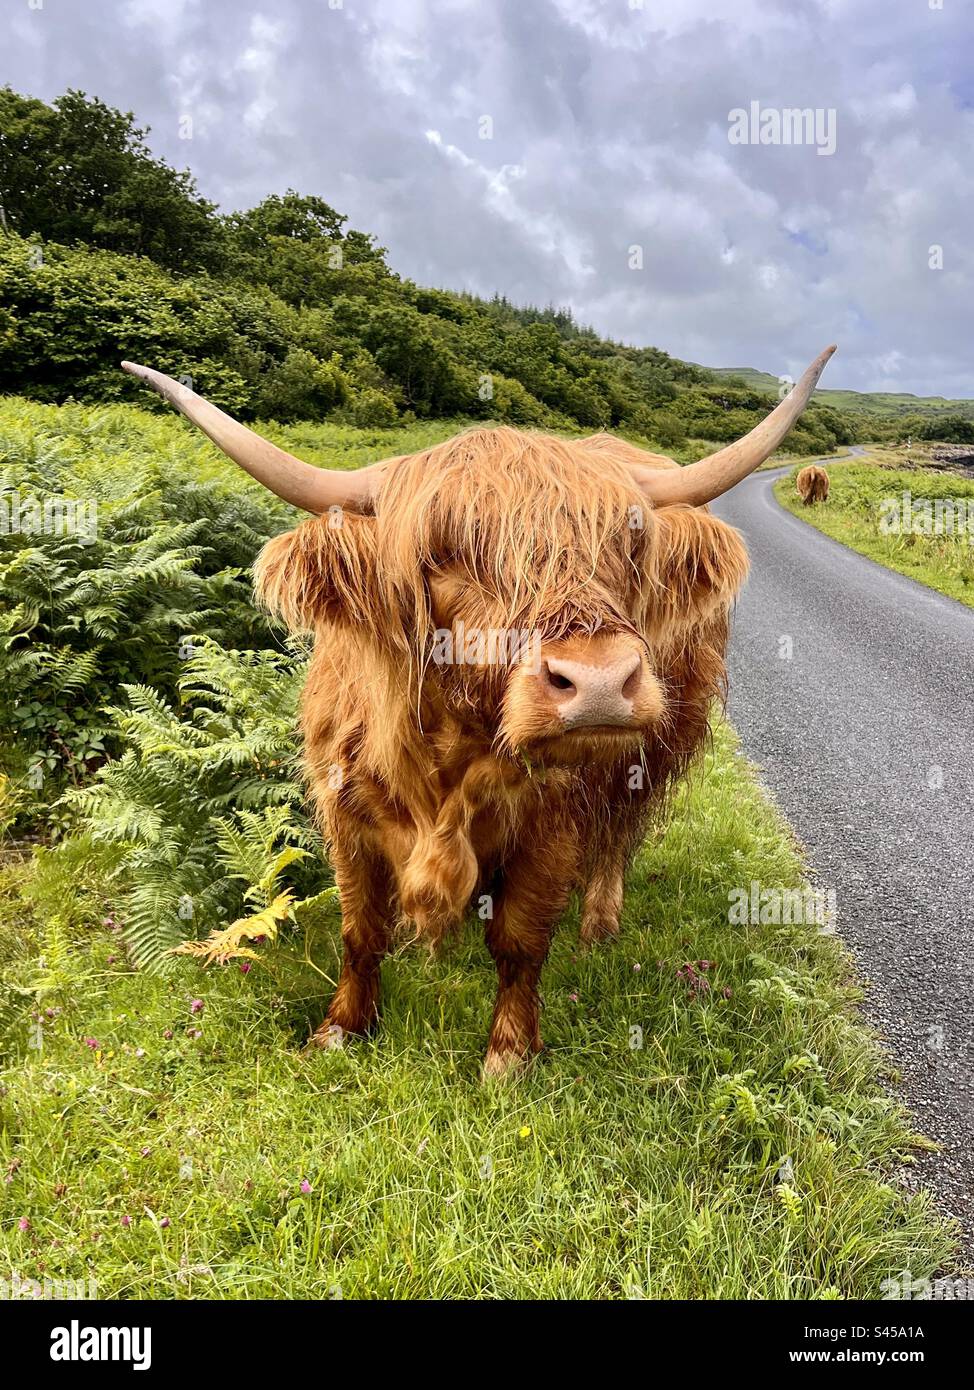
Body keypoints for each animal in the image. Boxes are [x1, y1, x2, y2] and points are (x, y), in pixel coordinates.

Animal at [121, 344, 833, 1073]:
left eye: (629, 548)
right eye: (444, 554)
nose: (600, 680)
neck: (448, 750)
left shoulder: (554, 821)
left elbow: (520, 940)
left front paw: (509, 1054)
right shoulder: (344, 811)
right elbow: (360, 928)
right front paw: (340, 1028)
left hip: (647, 754)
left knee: (617, 836)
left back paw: (599, 924)